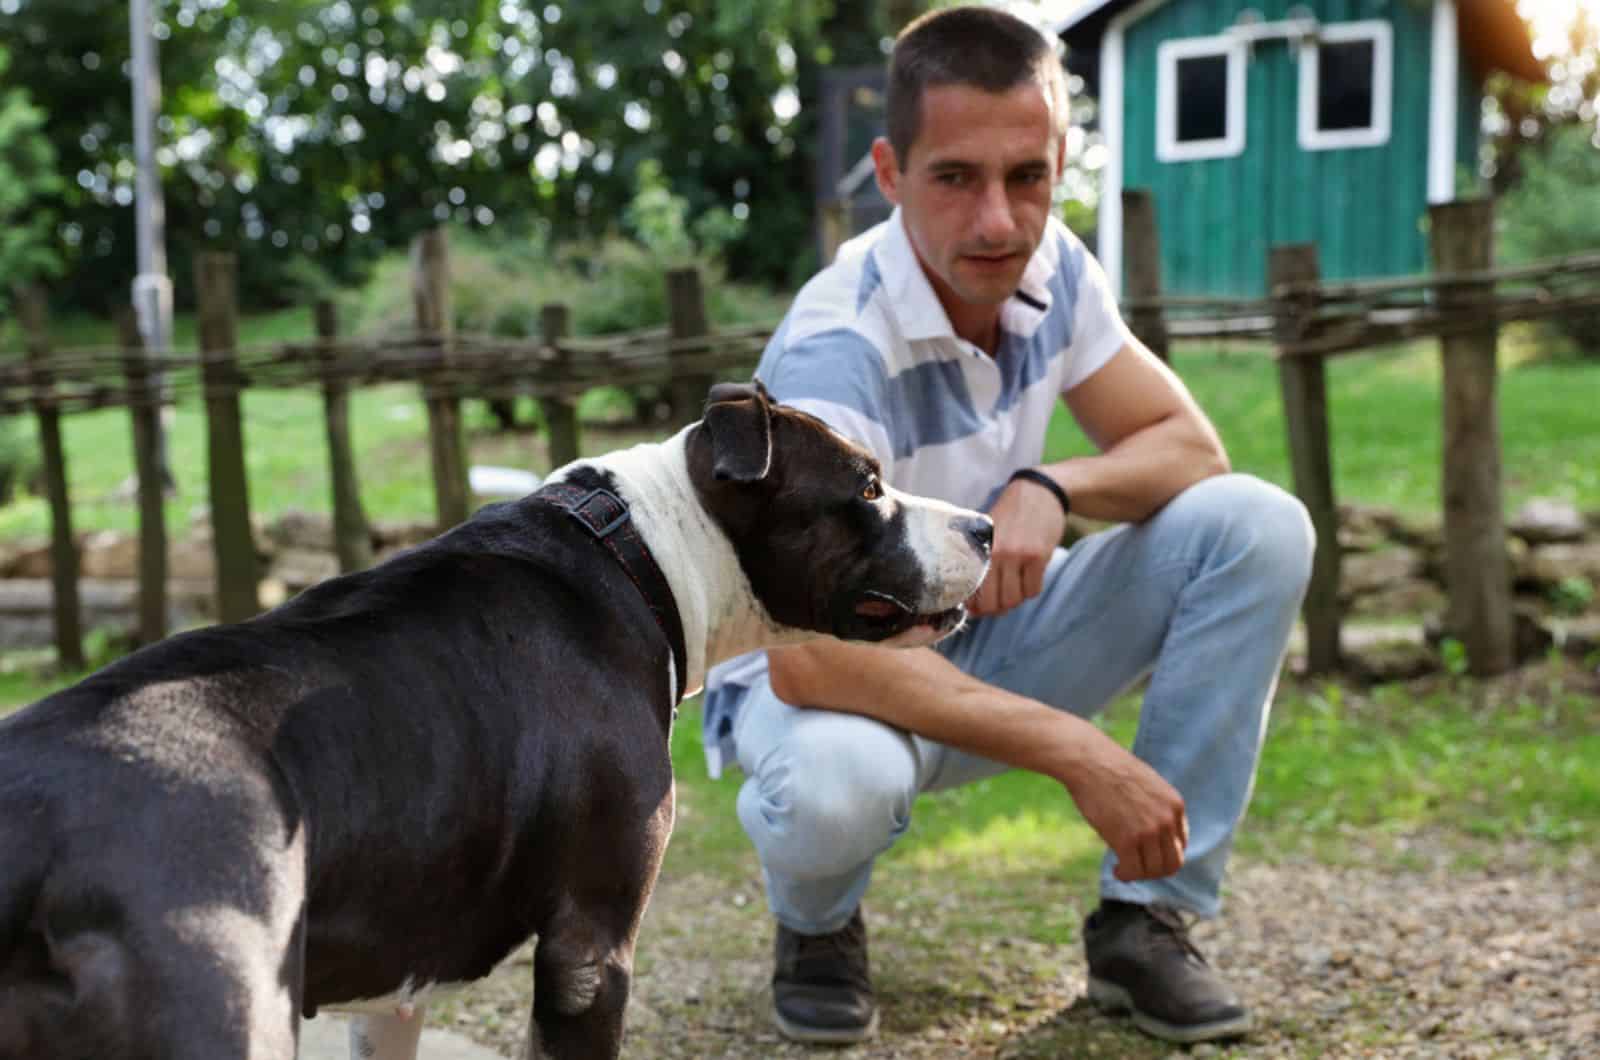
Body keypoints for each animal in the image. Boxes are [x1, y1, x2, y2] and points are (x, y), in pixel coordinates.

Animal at [0, 382, 992, 1060]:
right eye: (867, 487)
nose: (985, 527)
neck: (640, 547)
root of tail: (30, 825)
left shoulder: (394, 986)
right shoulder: (590, 949)